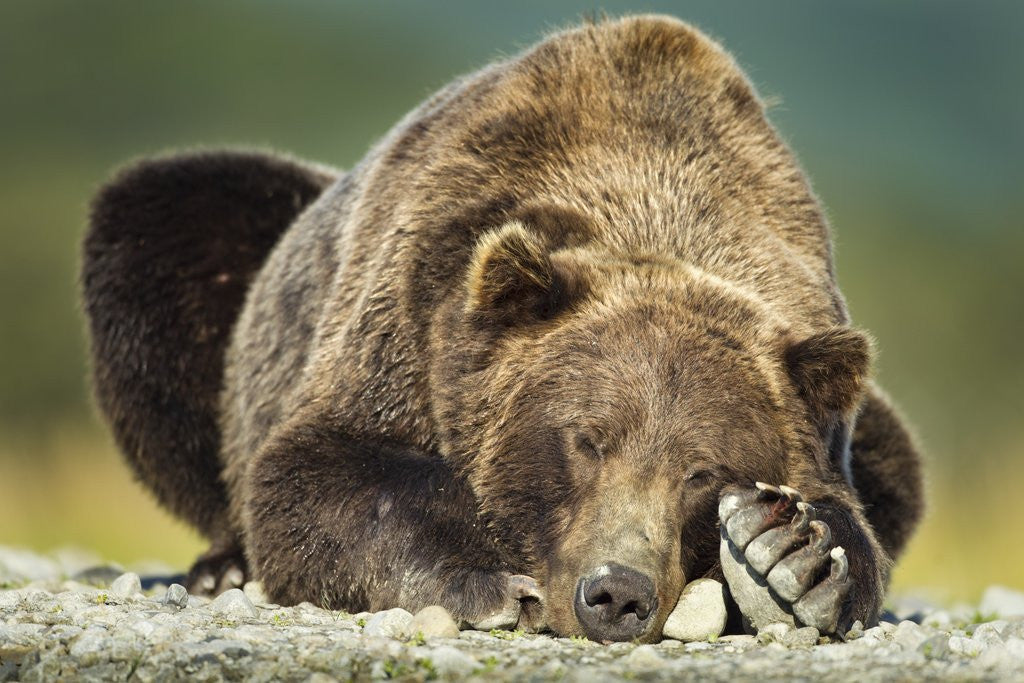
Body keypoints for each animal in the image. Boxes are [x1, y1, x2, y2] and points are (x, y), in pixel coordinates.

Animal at [81, 15, 923, 642]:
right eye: (587, 437)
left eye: (704, 471)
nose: (616, 593)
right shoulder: (411, 308)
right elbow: (316, 471)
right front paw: (484, 579)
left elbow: (852, 510)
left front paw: (793, 558)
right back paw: (221, 565)